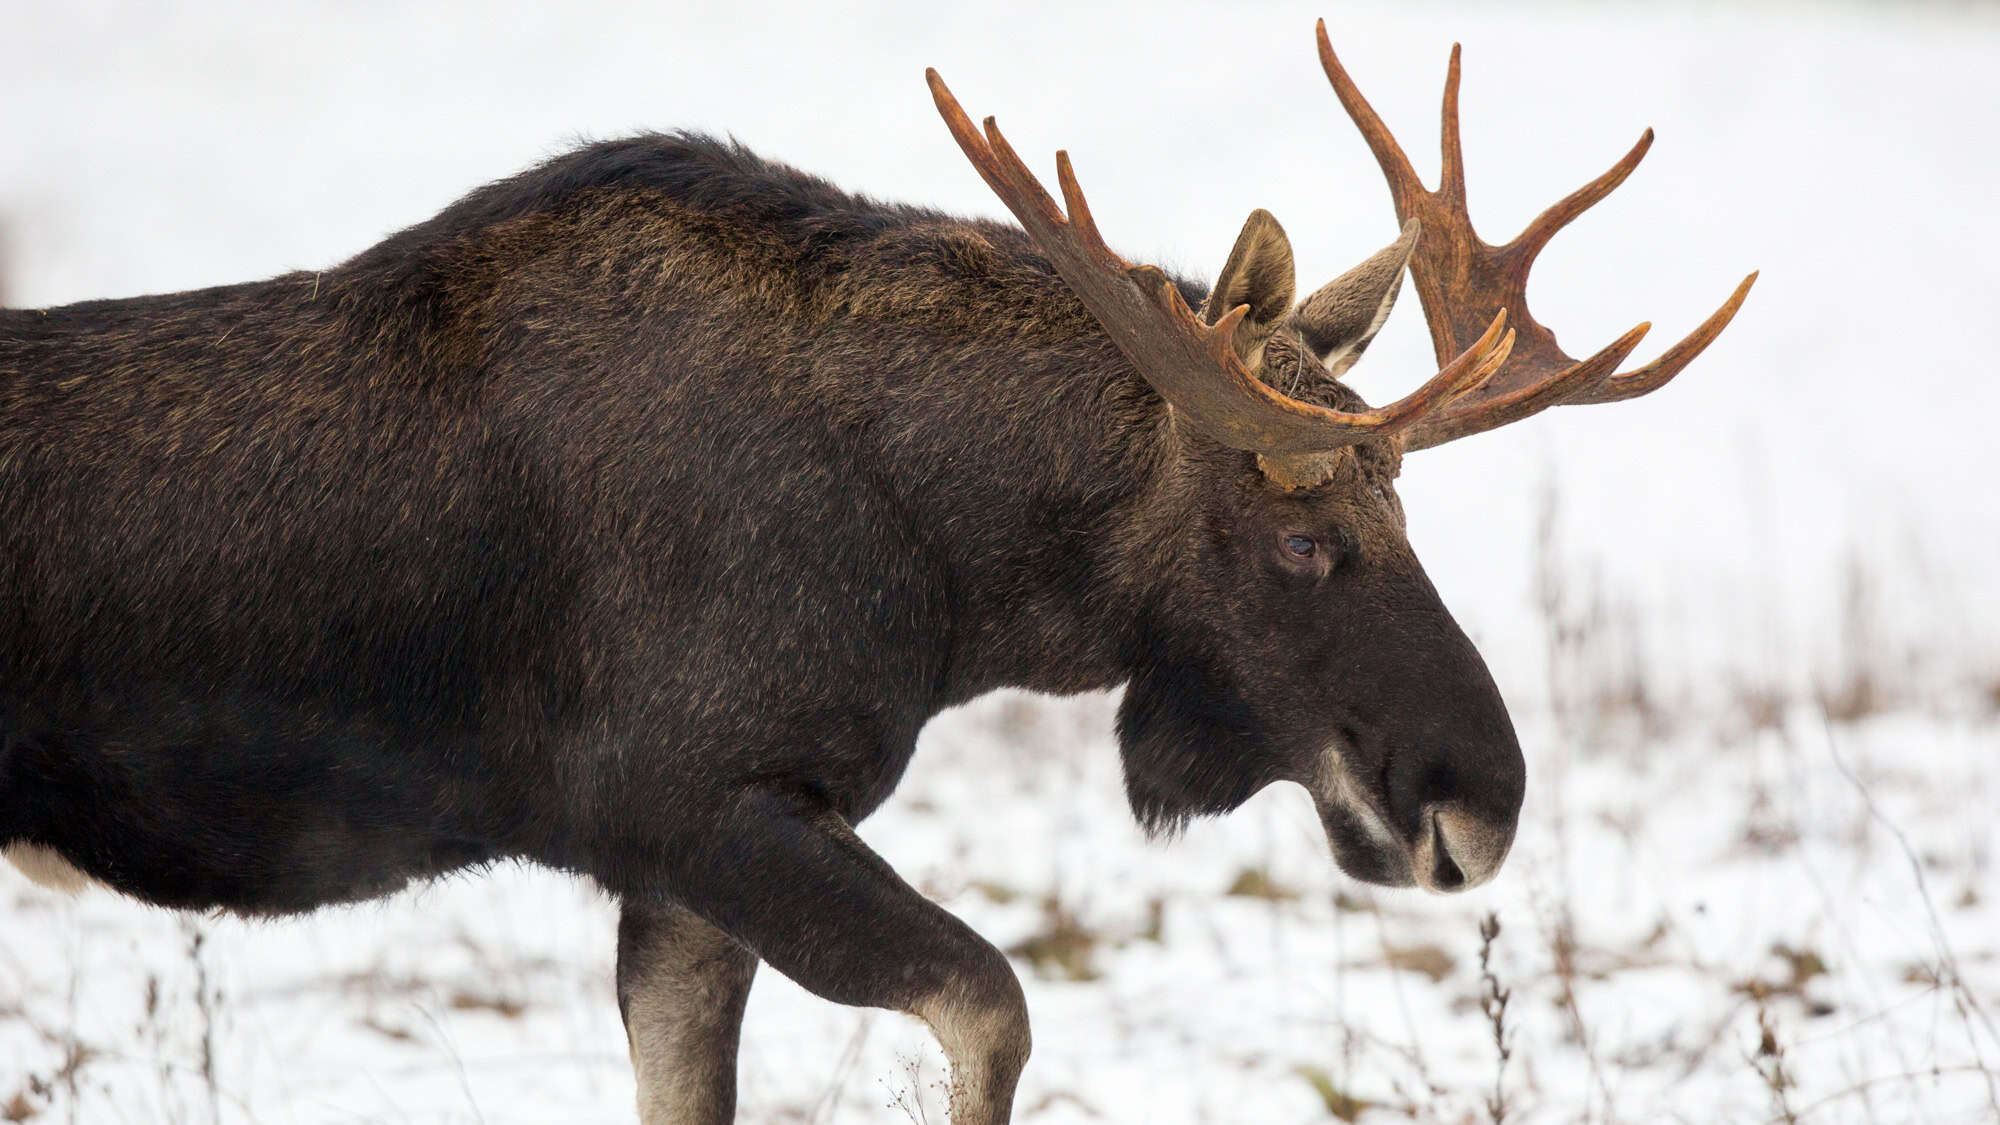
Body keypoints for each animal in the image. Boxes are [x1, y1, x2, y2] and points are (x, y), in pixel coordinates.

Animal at [0, 20, 1753, 1124]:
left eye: (1410, 512)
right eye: (1306, 535)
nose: (1482, 800)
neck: (951, 577)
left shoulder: (681, 870)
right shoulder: (697, 804)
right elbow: (995, 1008)